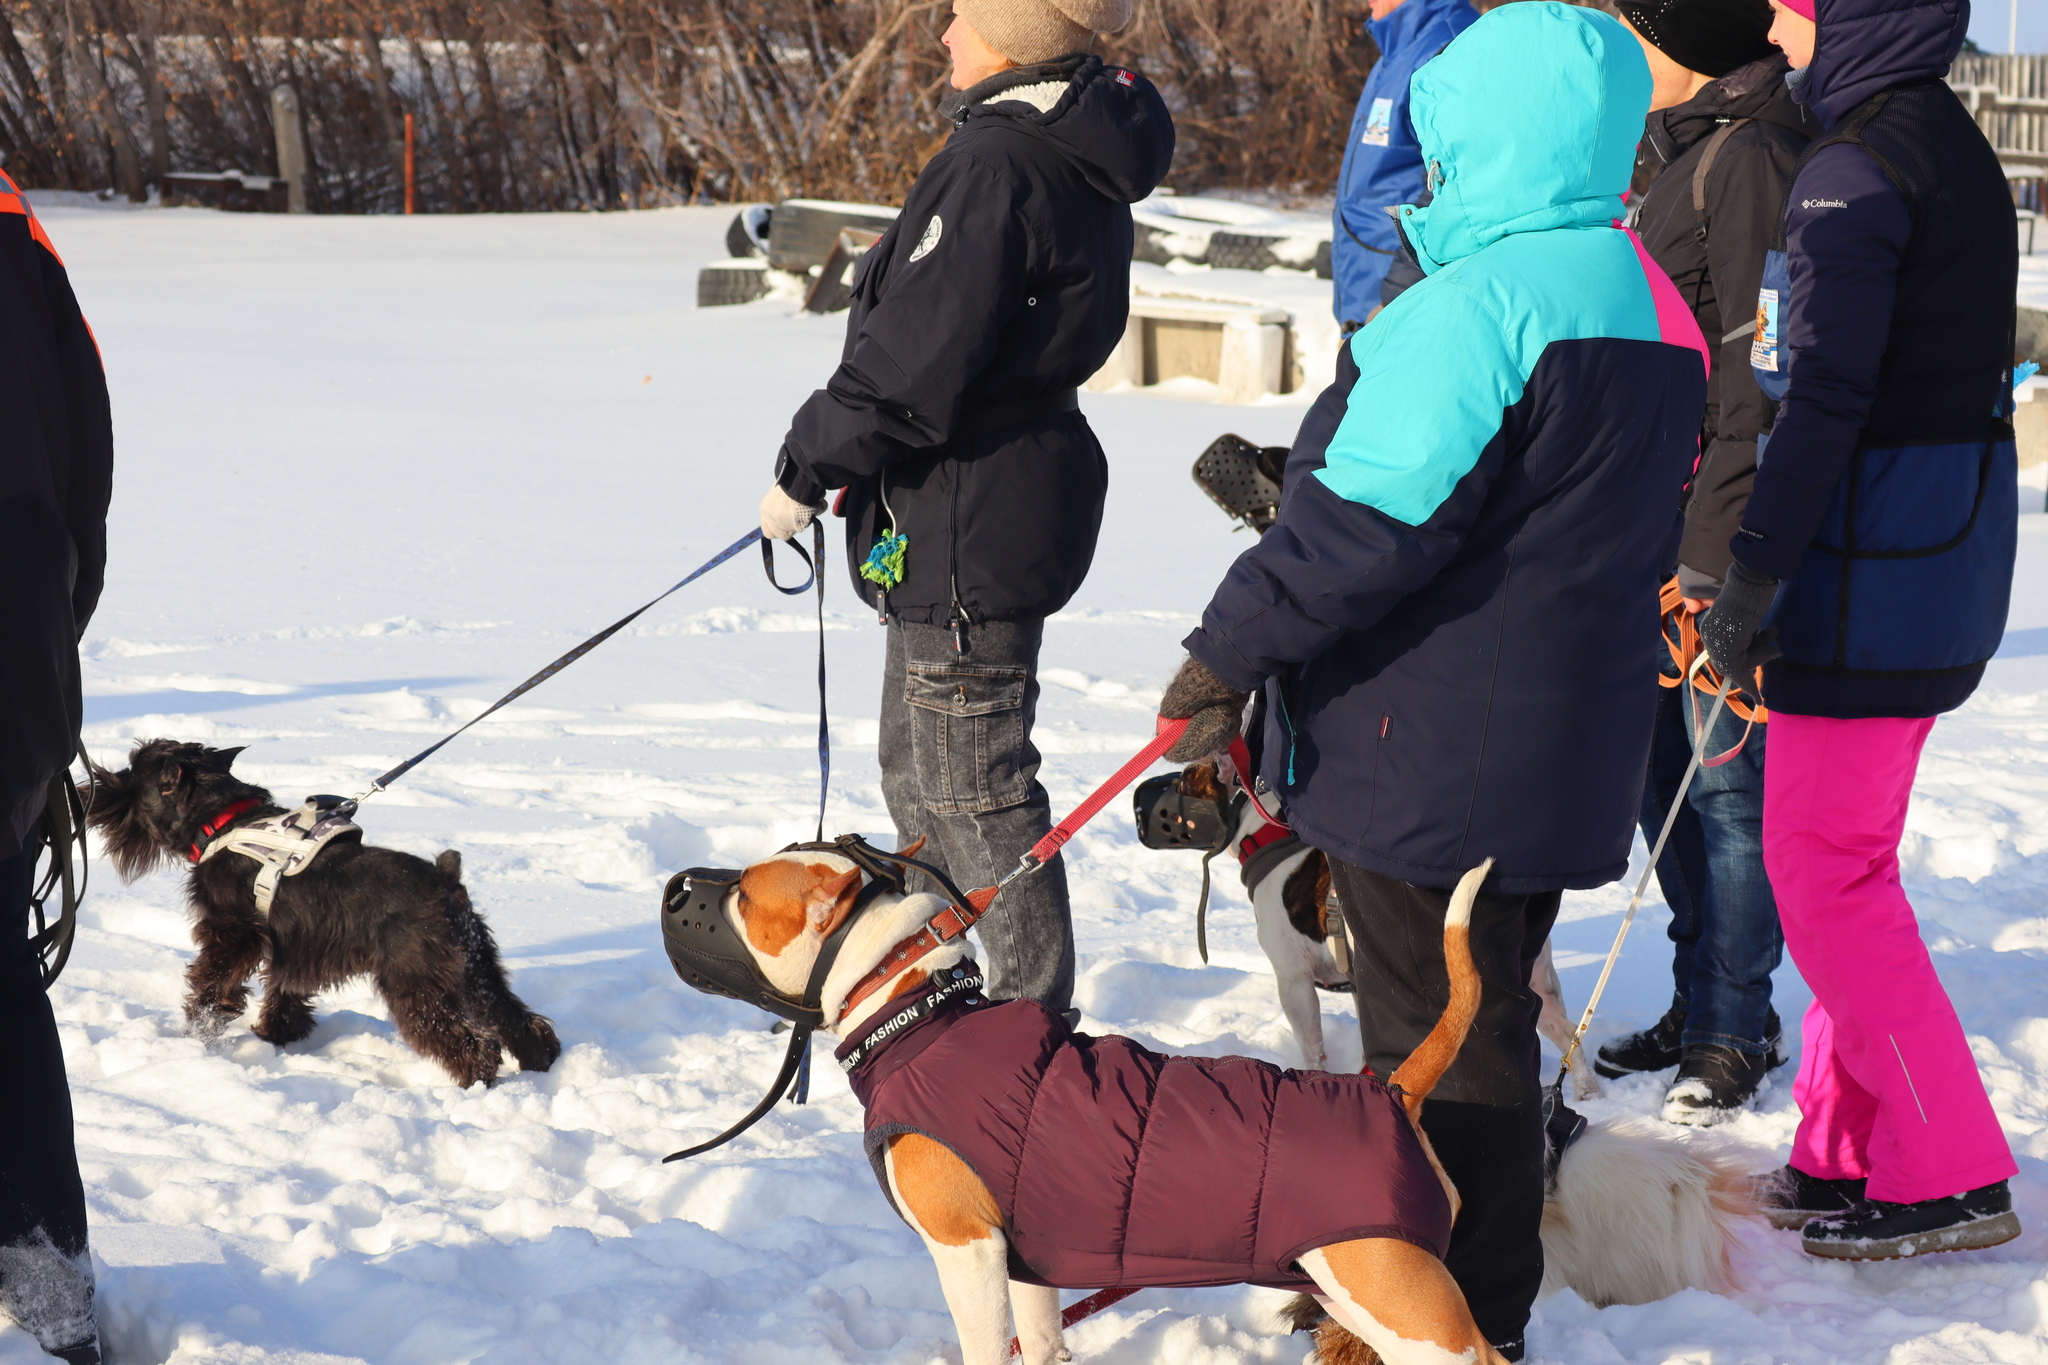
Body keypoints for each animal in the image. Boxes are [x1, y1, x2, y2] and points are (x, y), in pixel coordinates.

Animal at [89, 740, 561, 1080]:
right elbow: (284, 987)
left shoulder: (232, 934)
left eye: (131, 774)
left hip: (414, 983)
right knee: (516, 1020)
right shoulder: (293, 944)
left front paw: (199, 1032)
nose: (94, 786)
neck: (221, 820)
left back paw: (476, 1082)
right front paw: (277, 1035)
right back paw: (540, 1064)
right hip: (476, 968)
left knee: (468, 1043)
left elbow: (212, 982)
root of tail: (447, 881)